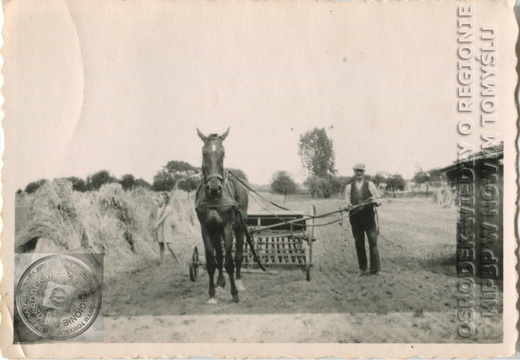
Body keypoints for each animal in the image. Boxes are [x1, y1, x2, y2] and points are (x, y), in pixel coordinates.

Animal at [194, 128, 249, 302]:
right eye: (203, 153)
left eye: (223, 153)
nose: (214, 187)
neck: (213, 198)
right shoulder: (206, 228)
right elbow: (212, 261)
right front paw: (212, 293)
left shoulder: (227, 227)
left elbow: (229, 262)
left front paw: (235, 293)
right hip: (216, 231)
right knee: (219, 256)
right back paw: (220, 281)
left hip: (239, 227)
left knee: (238, 255)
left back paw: (239, 281)